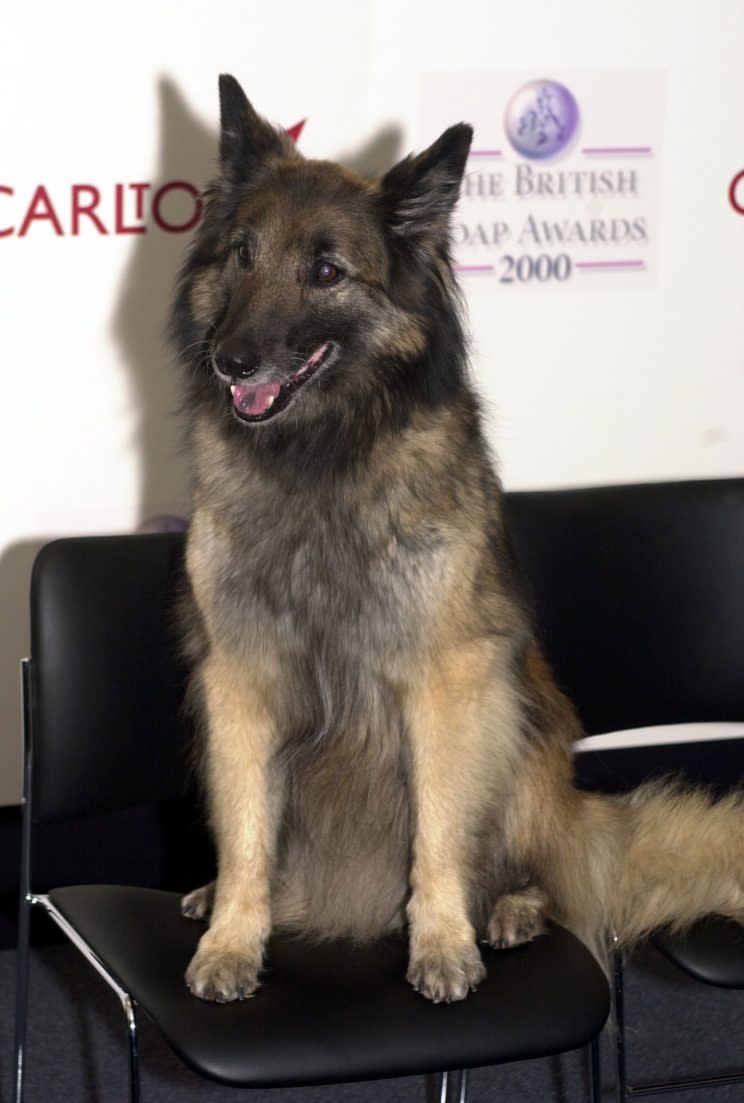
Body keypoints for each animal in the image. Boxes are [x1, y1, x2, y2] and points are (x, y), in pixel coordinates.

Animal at [169, 75, 744, 1010]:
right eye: (244, 255)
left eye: (325, 271)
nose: (232, 361)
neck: (324, 457)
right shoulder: (239, 676)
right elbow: (248, 830)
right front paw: (232, 937)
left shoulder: (446, 678)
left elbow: (439, 831)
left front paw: (441, 942)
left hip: (522, 720)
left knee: (554, 870)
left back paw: (510, 906)